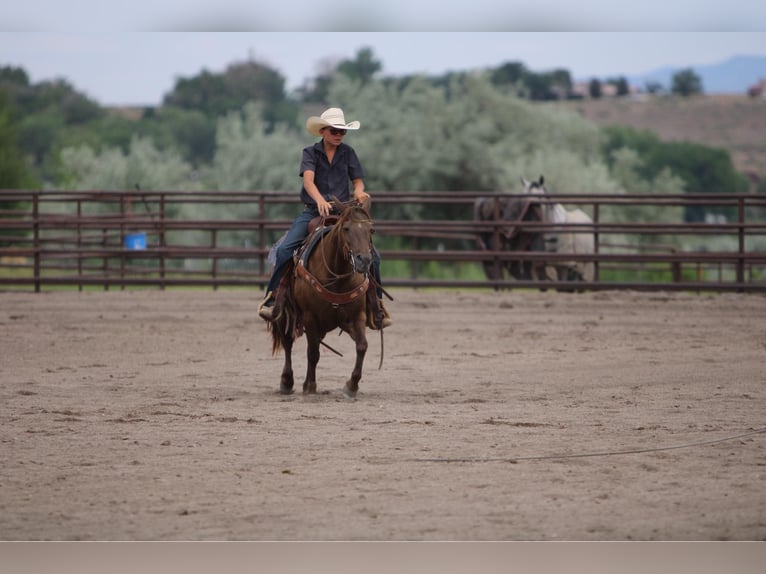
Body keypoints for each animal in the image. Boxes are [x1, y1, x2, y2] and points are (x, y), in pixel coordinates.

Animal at [268, 201, 380, 400]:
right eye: (346, 228)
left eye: (371, 230)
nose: (365, 260)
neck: (337, 275)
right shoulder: (310, 317)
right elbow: (313, 353)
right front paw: (310, 386)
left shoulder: (357, 315)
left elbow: (362, 346)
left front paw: (351, 386)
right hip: (284, 313)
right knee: (288, 342)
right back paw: (287, 381)